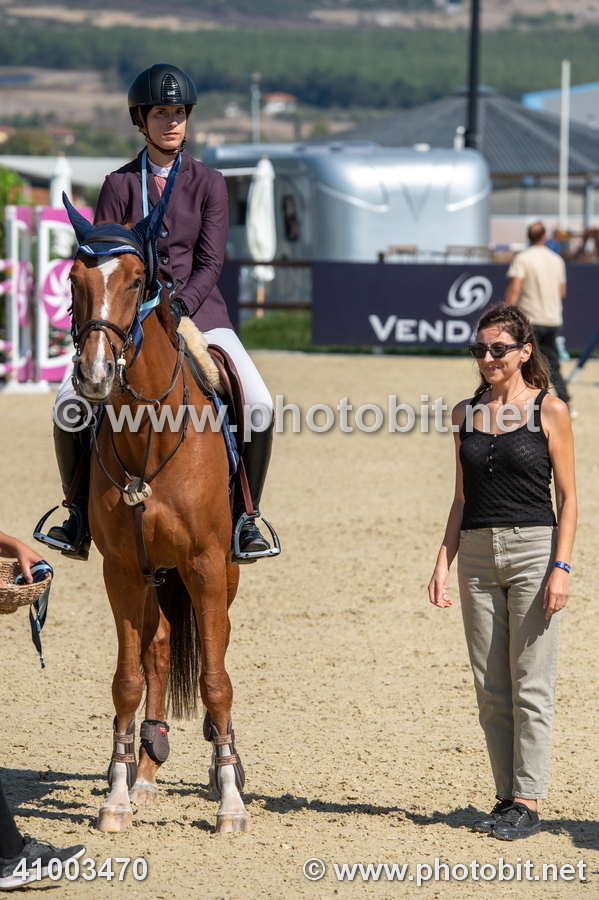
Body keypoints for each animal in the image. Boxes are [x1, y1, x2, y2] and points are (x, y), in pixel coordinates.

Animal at [63, 198, 249, 834]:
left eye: (139, 281)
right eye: (74, 281)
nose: (95, 375)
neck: (148, 436)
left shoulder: (207, 564)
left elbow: (217, 681)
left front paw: (230, 802)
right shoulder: (120, 569)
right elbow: (127, 681)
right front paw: (117, 796)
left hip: (219, 571)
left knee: (207, 649)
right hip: (151, 575)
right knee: (160, 648)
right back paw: (142, 766)